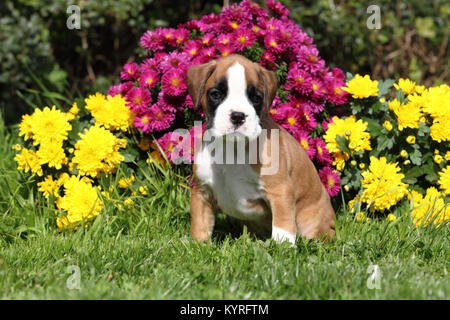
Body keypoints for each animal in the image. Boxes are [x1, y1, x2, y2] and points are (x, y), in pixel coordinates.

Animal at [185, 55, 336, 245]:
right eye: (216, 94)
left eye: (256, 98)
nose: (238, 116)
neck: (232, 148)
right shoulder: (202, 192)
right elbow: (200, 224)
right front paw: (197, 245)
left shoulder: (280, 191)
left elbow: (283, 226)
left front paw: (281, 248)